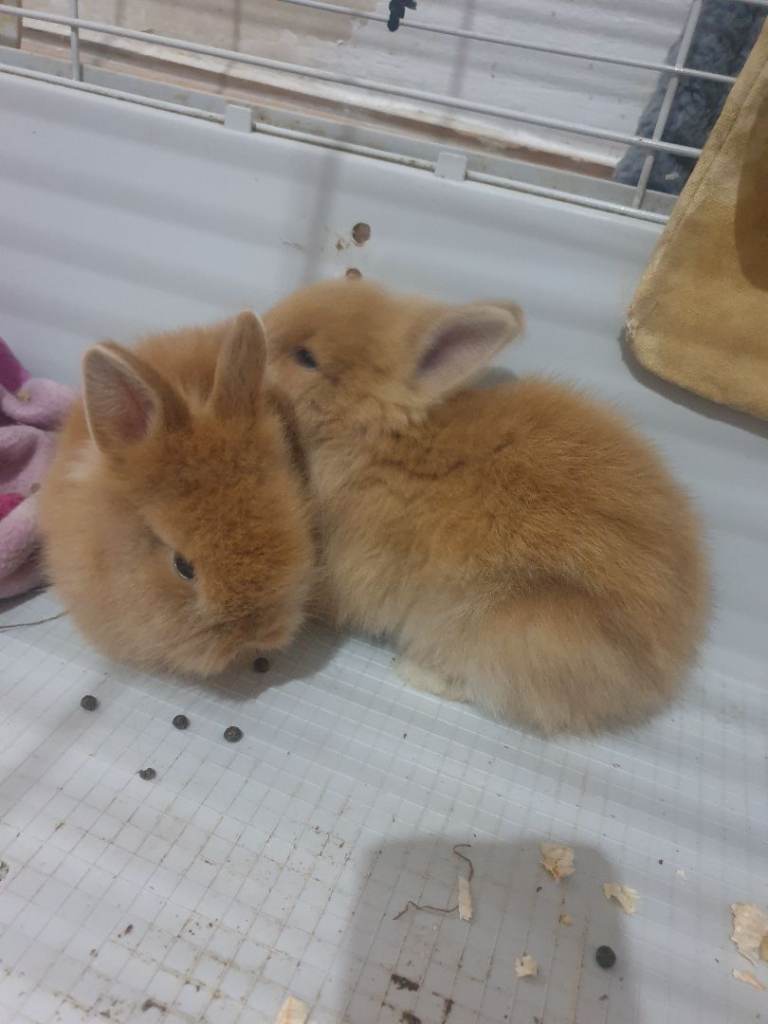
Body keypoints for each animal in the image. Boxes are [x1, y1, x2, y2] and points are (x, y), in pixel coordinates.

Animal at [263, 278, 710, 734]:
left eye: (306, 358)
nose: (258, 327)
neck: (381, 436)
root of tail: (663, 671)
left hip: (508, 630)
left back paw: (416, 671)